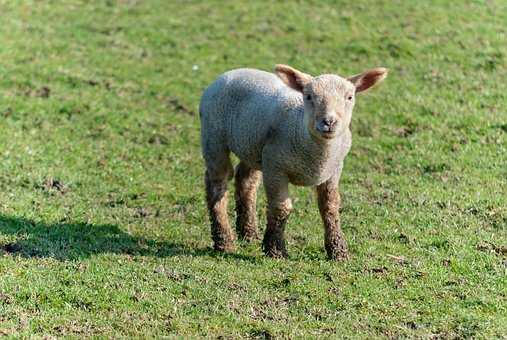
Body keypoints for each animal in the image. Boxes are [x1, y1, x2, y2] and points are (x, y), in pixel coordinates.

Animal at [199, 64, 388, 260]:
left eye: (349, 97)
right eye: (309, 96)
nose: (328, 122)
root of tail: (229, 73)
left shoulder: (334, 170)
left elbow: (330, 207)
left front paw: (338, 252)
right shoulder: (275, 167)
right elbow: (281, 208)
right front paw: (275, 250)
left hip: (253, 147)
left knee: (246, 180)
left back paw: (249, 233)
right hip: (213, 137)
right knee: (217, 184)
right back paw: (224, 241)